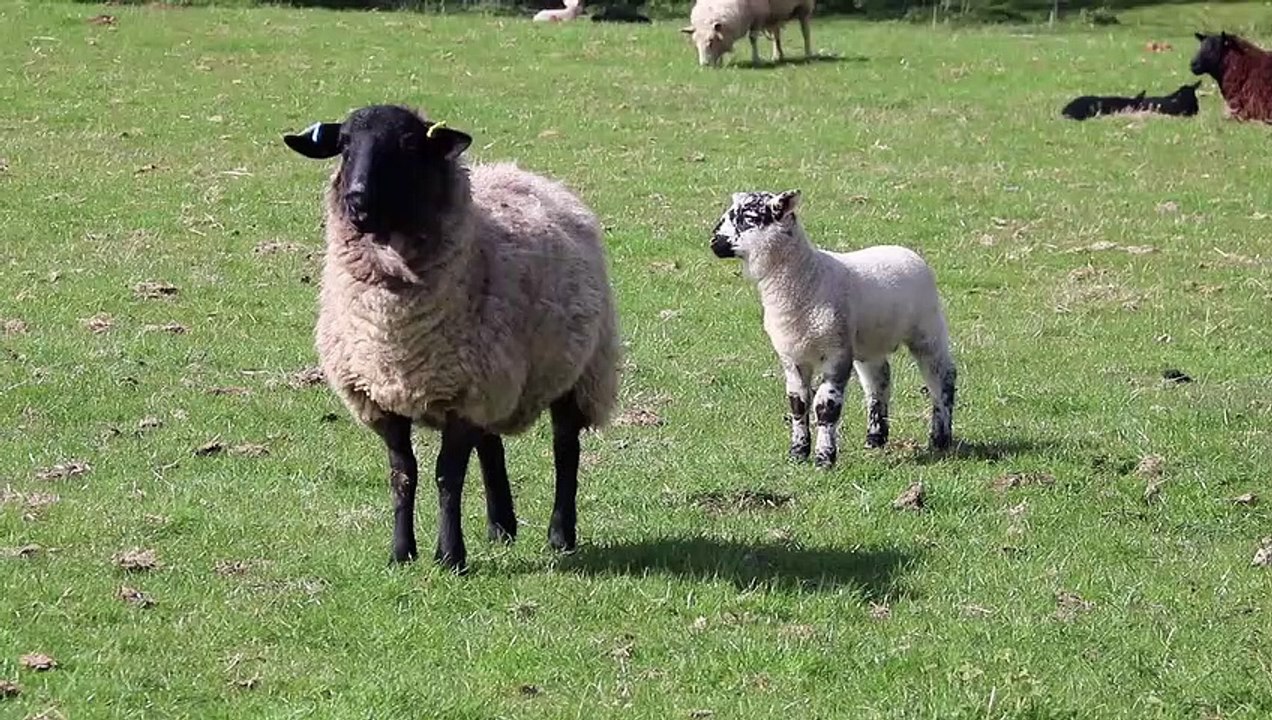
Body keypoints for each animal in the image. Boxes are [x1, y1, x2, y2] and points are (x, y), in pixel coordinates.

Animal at [282, 105, 620, 572]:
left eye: (408, 143)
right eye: (344, 144)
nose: (357, 199)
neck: (394, 327)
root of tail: (523, 173)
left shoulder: (464, 396)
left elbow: (448, 475)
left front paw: (449, 556)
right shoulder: (382, 396)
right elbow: (403, 473)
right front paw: (401, 553)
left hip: (580, 370)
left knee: (565, 450)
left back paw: (560, 535)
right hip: (494, 379)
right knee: (491, 445)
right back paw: (501, 526)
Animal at [680, 0, 814, 68]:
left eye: (711, 41)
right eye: (695, 44)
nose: (704, 64)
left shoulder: (758, 18)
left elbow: (752, 39)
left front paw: (756, 59)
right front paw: (720, 62)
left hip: (804, 7)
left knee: (805, 31)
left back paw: (808, 54)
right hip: (773, 16)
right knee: (776, 36)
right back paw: (777, 56)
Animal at [708, 190, 955, 469]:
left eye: (749, 217)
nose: (714, 241)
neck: (808, 277)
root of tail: (906, 251)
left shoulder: (835, 354)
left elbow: (826, 407)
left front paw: (824, 458)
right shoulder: (792, 357)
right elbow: (798, 404)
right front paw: (797, 453)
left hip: (927, 330)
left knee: (942, 379)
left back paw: (940, 438)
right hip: (868, 343)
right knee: (878, 381)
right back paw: (875, 438)